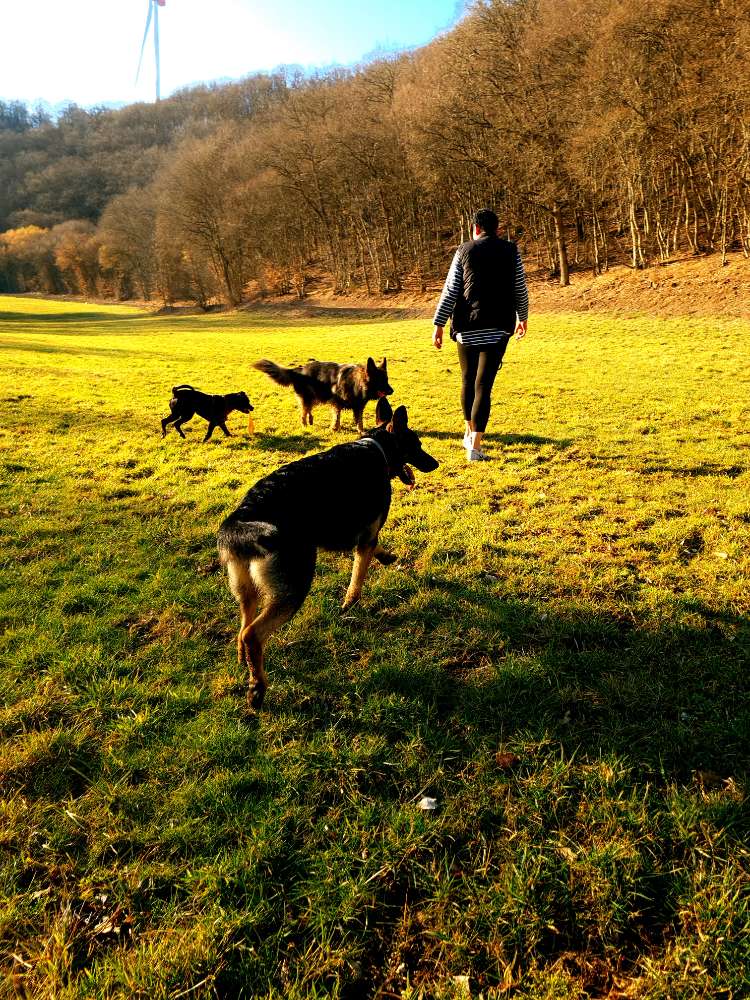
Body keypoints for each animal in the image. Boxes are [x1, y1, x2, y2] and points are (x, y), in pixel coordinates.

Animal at [217, 398, 440, 712]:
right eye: (417, 444)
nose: (435, 463)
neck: (377, 447)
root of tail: (242, 516)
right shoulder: (365, 536)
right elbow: (358, 578)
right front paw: (350, 603)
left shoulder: (360, 536)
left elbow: (374, 550)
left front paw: (387, 557)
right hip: (293, 590)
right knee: (252, 635)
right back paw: (257, 689)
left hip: (247, 593)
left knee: (243, 629)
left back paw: (246, 666)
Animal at [254, 358, 394, 432]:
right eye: (381, 381)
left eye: (386, 379)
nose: (392, 391)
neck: (356, 383)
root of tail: (297, 370)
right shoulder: (336, 403)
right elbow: (337, 418)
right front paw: (335, 429)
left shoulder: (358, 407)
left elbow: (359, 420)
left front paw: (361, 431)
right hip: (308, 397)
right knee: (303, 413)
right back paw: (305, 425)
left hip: (314, 397)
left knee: (308, 410)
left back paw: (310, 420)